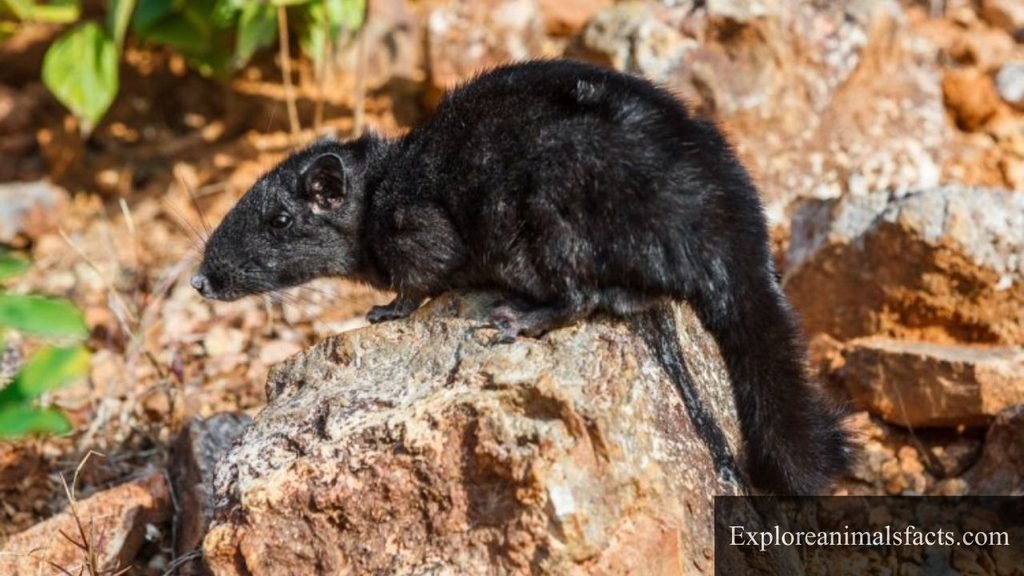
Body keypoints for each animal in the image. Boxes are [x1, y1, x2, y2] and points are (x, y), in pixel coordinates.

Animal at [192, 60, 852, 495]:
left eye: (278, 220)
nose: (201, 281)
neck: (385, 182)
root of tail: (730, 231)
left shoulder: (417, 227)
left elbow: (422, 275)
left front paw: (385, 310)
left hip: (548, 213)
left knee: (584, 293)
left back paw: (523, 317)